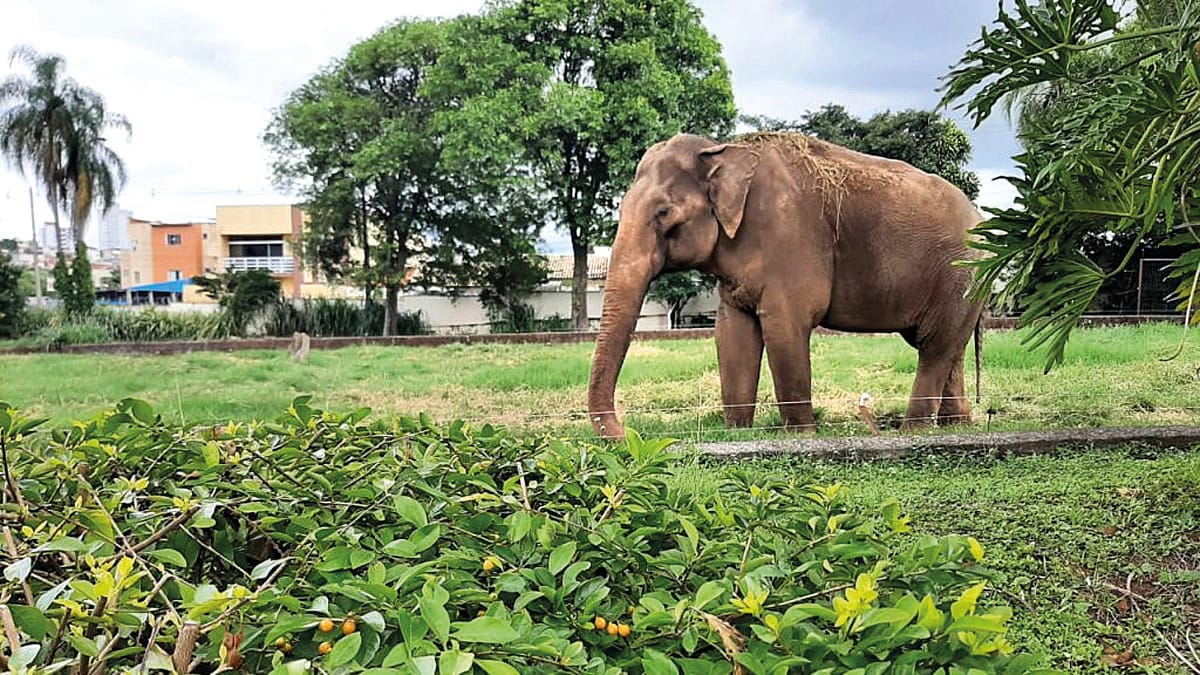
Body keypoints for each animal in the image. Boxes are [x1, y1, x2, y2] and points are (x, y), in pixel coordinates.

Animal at [587, 132, 985, 439]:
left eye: (663, 213)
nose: (629, 433)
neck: (723, 150)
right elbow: (732, 334)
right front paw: (737, 433)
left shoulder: (789, 239)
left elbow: (785, 328)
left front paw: (801, 435)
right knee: (947, 347)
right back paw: (956, 425)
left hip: (959, 275)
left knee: (934, 347)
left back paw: (913, 430)